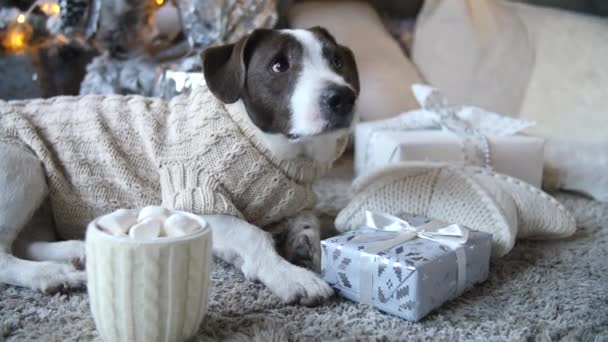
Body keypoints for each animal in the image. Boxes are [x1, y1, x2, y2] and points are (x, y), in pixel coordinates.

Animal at [0, 26, 358, 304]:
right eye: (279, 65)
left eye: (337, 61)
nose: (343, 97)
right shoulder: (193, 197)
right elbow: (252, 235)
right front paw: (290, 275)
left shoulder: (293, 198)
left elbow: (307, 218)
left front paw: (303, 243)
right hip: (23, 162)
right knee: (4, 254)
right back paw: (49, 274)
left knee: (25, 242)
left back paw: (76, 250)